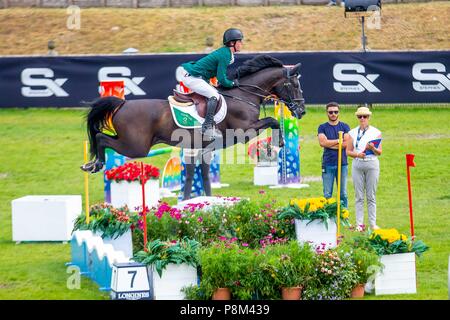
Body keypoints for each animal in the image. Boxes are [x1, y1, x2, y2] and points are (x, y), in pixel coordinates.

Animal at [81, 56, 306, 174]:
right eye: (295, 85)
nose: (302, 111)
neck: (244, 94)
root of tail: (123, 104)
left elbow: (271, 121)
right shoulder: (244, 131)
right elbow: (272, 121)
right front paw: (276, 144)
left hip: (132, 142)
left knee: (102, 137)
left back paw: (93, 164)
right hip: (137, 147)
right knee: (101, 138)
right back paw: (96, 164)